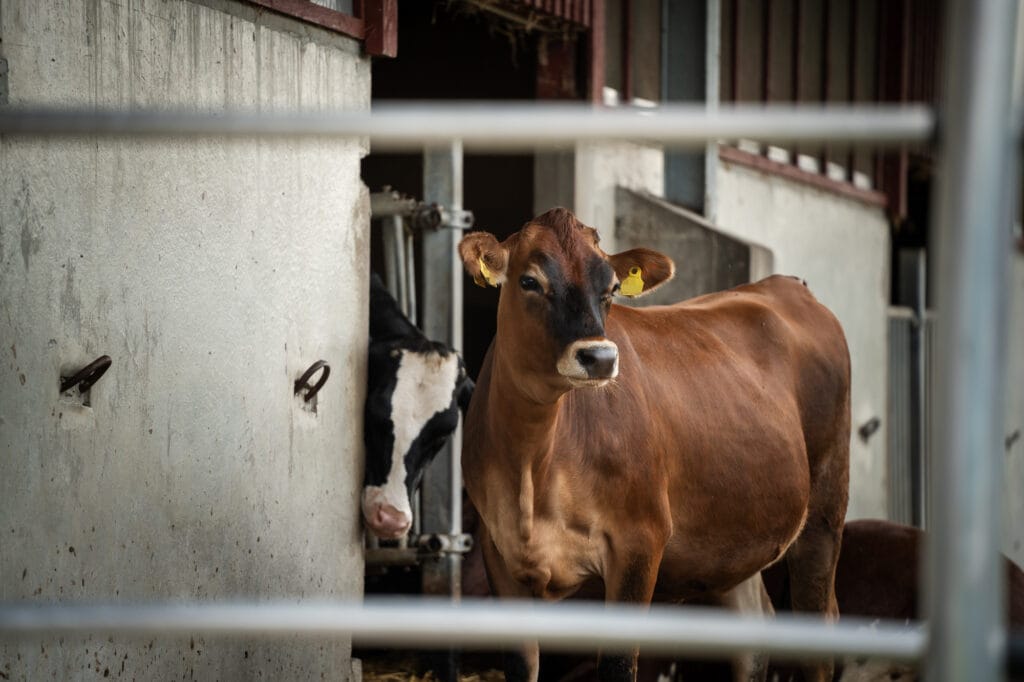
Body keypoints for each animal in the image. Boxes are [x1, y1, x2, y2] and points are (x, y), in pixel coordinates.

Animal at [456, 208, 847, 679]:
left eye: (611, 288)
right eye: (529, 281)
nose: (600, 357)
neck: (533, 464)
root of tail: (786, 283)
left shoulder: (640, 542)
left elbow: (619, 664)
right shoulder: (499, 550)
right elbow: (520, 664)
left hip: (824, 511)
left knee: (818, 633)